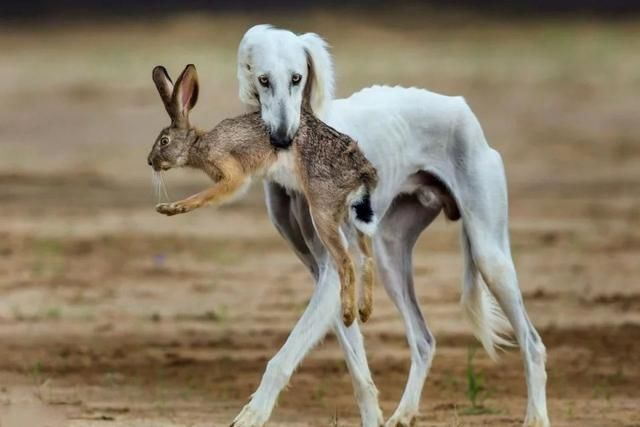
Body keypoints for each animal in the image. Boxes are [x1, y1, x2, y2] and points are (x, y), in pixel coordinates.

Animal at [231, 25, 552, 426]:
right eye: (263, 79)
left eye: (296, 78)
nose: (282, 138)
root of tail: (460, 106)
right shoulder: (322, 270)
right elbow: (358, 371)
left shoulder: (336, 266)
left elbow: (283, 358)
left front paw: (252, 414)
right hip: (389, 254)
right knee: (424, 340)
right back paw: (403, 413)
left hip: (489, 254)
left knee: (532, 343)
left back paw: (536, 416)